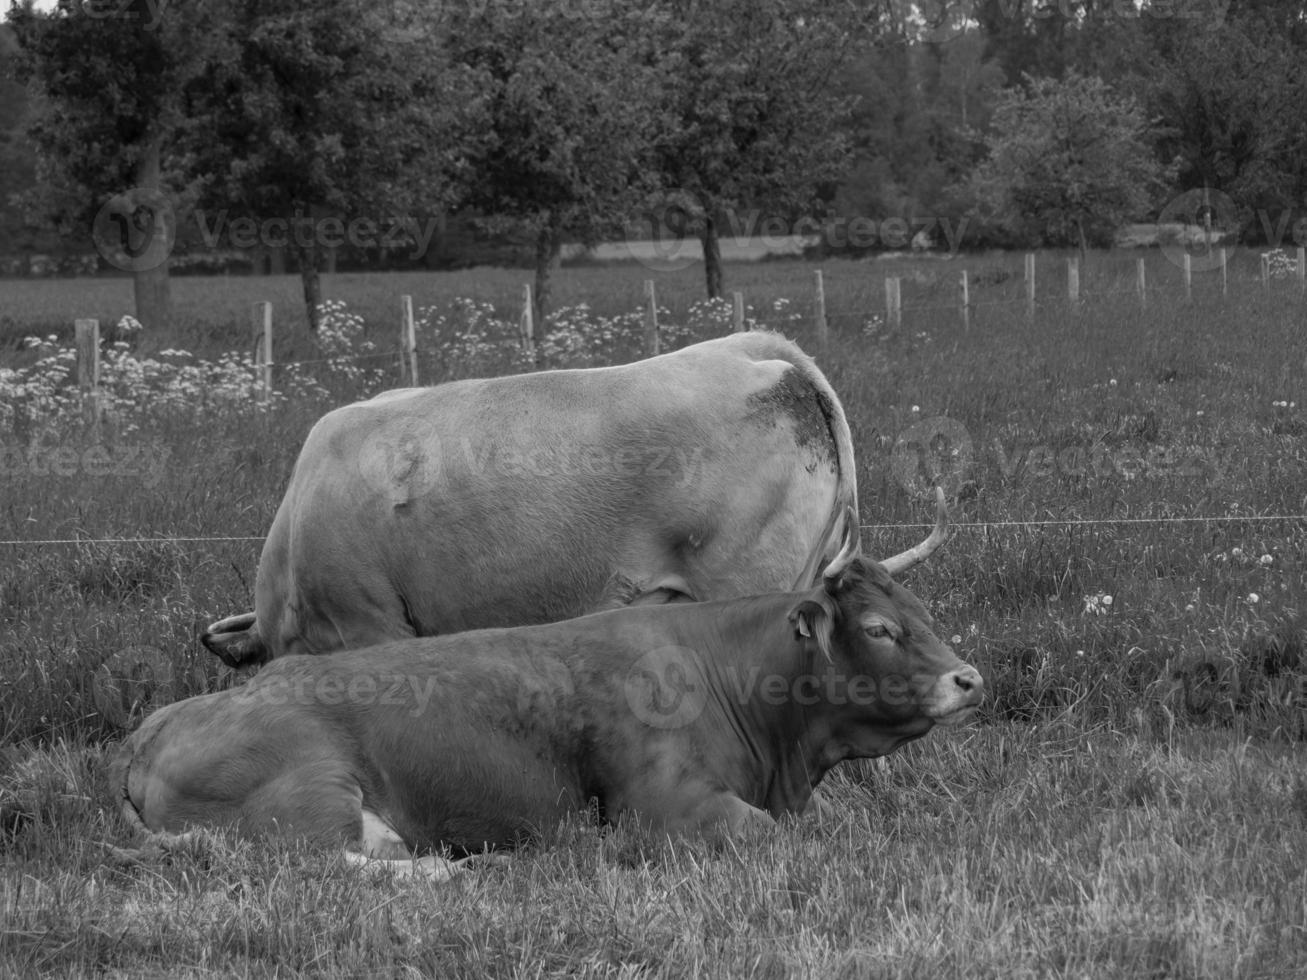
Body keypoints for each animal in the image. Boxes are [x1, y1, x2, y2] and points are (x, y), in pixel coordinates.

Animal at [115, 493, 982, 878]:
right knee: (318, 865)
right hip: (311, 795)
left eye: (922, 612)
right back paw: (452, 868)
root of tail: (153, 730)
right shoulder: (663, 807)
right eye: (878, 628)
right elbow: (777, 835)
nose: (968, 679)